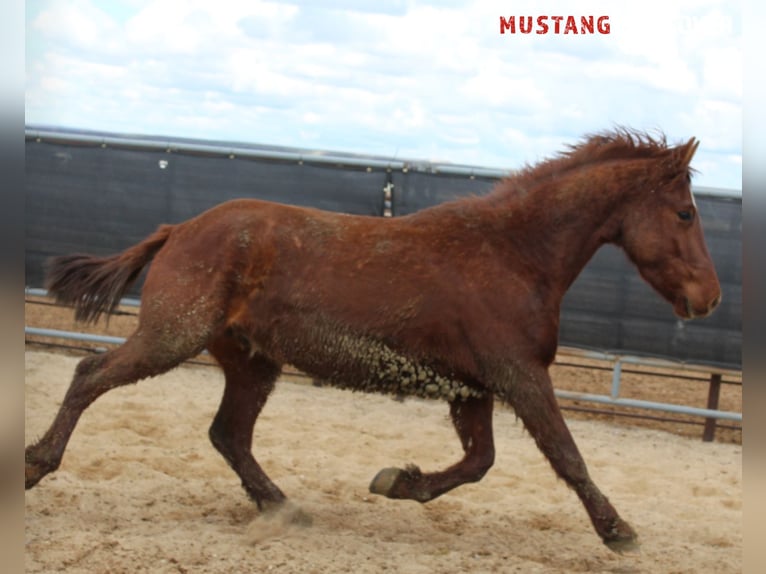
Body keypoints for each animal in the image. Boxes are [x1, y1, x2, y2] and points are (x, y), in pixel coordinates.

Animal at [24, 129, 720, 552]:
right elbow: (566, 457)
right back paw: (35, 464)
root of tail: (179, 229)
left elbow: (479, 462)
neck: (514, 255)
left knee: (229, 434)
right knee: (91, 376)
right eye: (685, 213)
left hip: (250, 362)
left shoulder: (473, 389)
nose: (709, 298)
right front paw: (618, 530)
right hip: (172, 336)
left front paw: (396, 482)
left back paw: (283, 507)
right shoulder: (520, 376)